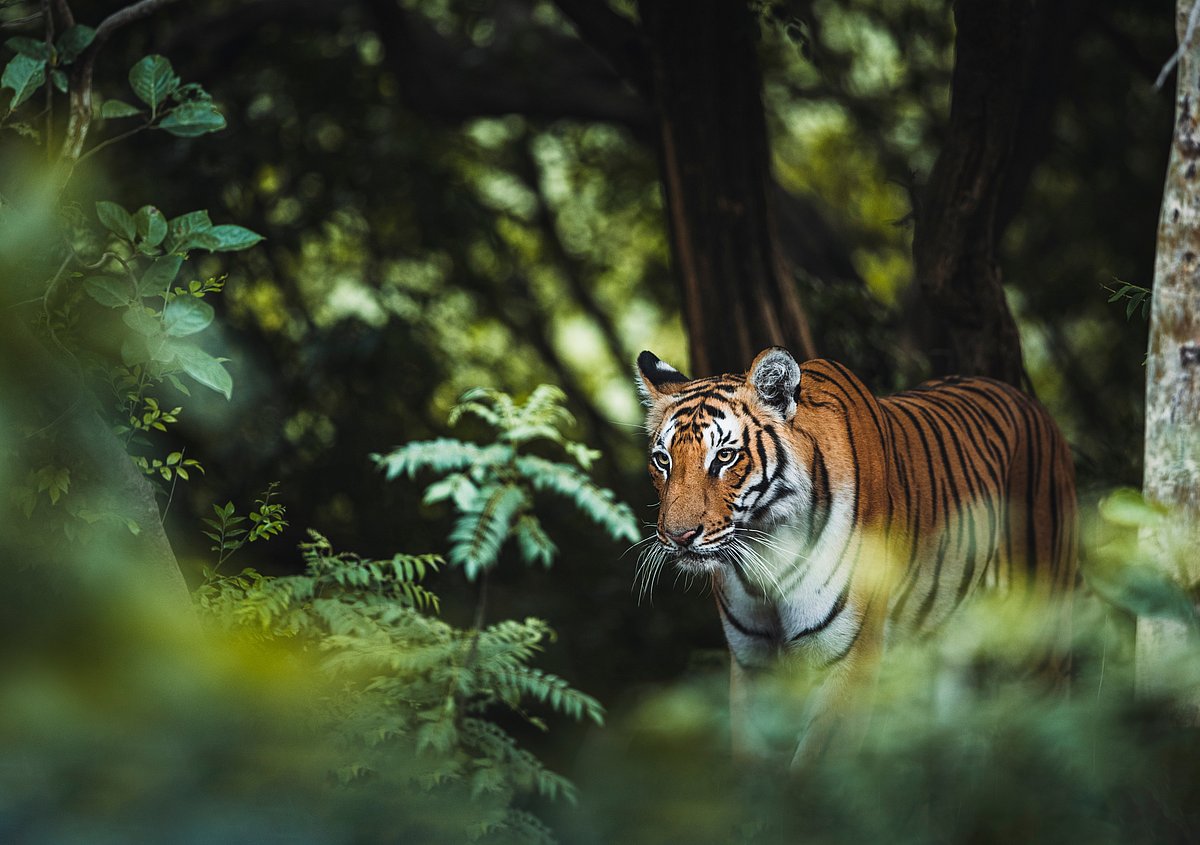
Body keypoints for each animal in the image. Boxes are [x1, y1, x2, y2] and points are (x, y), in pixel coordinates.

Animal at [635, 346, 1077, 764]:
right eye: (663, 460)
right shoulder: (752, 660)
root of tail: (1029, 400)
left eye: (725, 457)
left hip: (1036, 632)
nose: (677, 536)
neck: (767, 548)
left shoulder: (848, 658)